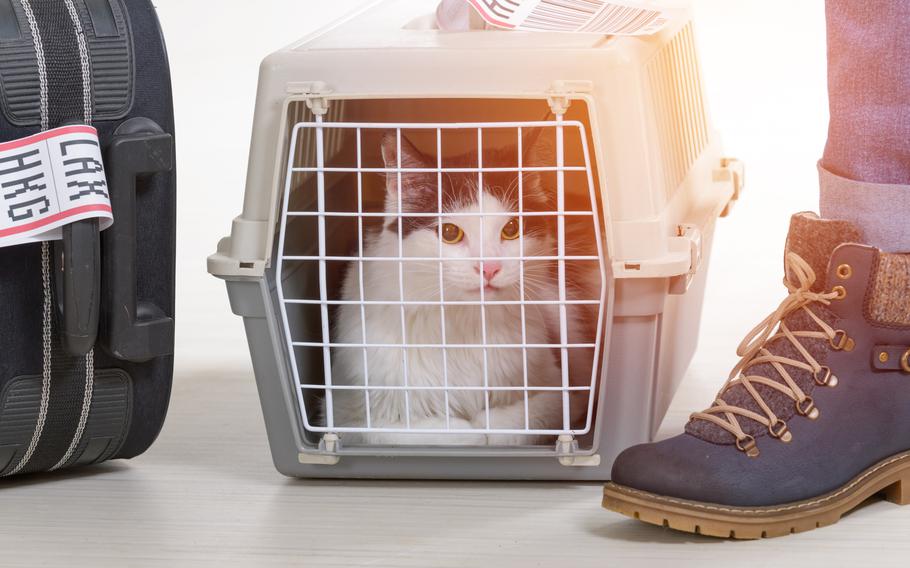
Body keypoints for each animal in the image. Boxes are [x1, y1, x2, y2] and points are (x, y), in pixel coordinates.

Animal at [328, 133, 600, 448]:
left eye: (511, 229)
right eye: (450, 233)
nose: (489, 268)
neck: (466, 325)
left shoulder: (564, 393)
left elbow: (506, 427)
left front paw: (486, 425)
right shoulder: (345, 416)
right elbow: (449, 434)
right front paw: (466, 429)